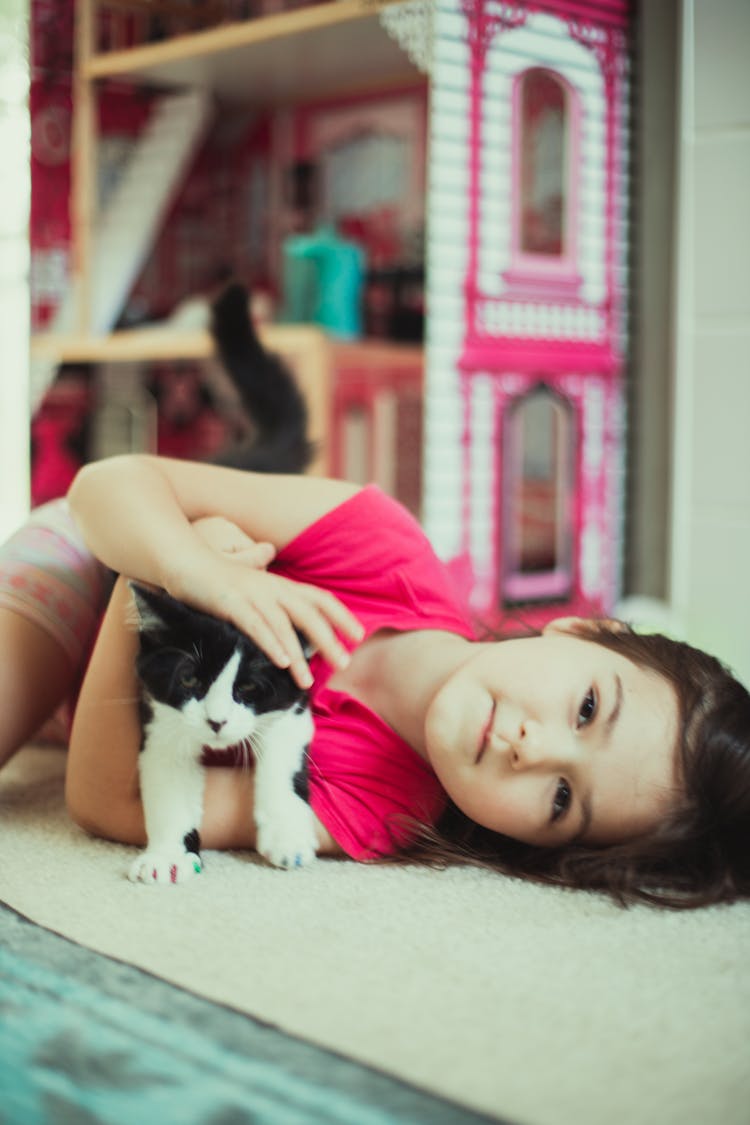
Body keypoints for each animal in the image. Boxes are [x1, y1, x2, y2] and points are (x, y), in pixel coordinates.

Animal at [129, 580, 317, 886]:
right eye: (189, 679)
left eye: (249, 687)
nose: (216, 721)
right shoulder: (161, 715)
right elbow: (168, 777)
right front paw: (167, 856)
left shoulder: (294, 697)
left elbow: (282, 752)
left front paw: (287, 835)